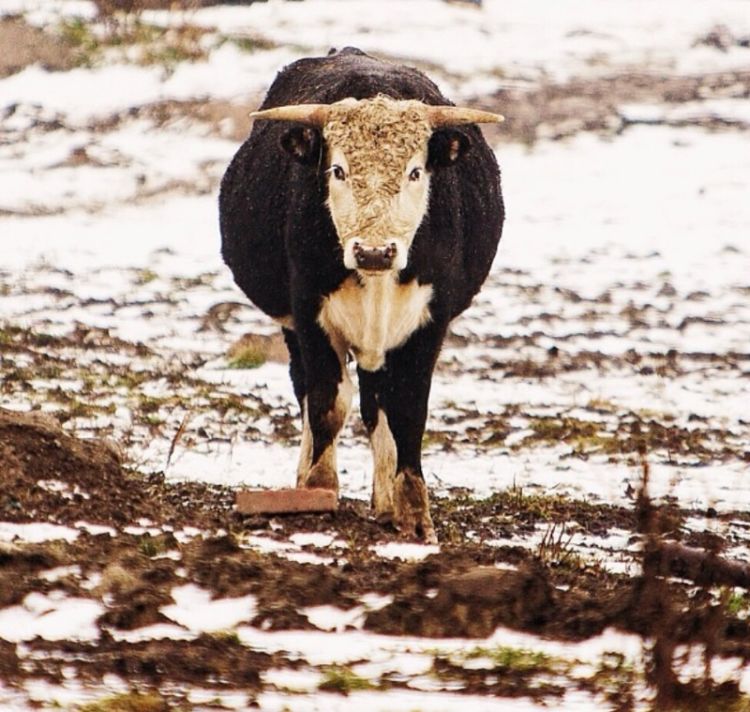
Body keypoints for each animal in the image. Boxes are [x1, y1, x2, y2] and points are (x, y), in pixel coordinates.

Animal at [220, 47, 508, 544]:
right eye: (338, 170)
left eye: (415, 172)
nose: (374, 251)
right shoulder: (311, 314)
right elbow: (327, 403)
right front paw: (318, 490)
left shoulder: (428, 323)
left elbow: (407, 409)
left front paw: (413, 512)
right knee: (312, 390)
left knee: (377, 404)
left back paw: (385, 500)